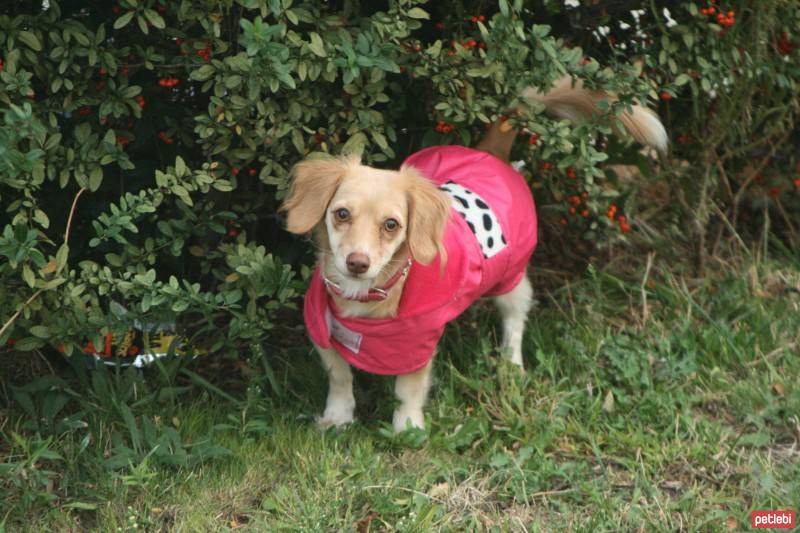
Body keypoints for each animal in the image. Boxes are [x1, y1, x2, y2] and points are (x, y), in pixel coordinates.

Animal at [284, 76, 664, 432]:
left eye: (391, 224)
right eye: (341, 214)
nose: (357, 263)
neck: (368, 295)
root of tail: (490, 152)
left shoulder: (419, 343)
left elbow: (408, 390)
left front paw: (407, 428)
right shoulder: (322, 327)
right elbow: (339, 376)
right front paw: (338, 417)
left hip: (512, 279)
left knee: (515, 321)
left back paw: (511, 366)